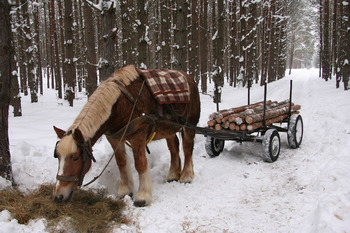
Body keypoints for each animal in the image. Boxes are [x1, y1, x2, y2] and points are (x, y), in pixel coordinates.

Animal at [51, 64, 200, 207]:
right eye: (57, 156)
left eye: (75, 158)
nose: (58, 196)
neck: (120, 105)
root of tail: (189, 78)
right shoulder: (114, 138)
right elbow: (121, 163)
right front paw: (125, 191)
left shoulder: (138, 137)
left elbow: (140, 164)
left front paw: (142, 196)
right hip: (168, 128)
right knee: (174, 147)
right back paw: (173, 174)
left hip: (189, 125)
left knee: (187, 148)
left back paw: (186, 176)